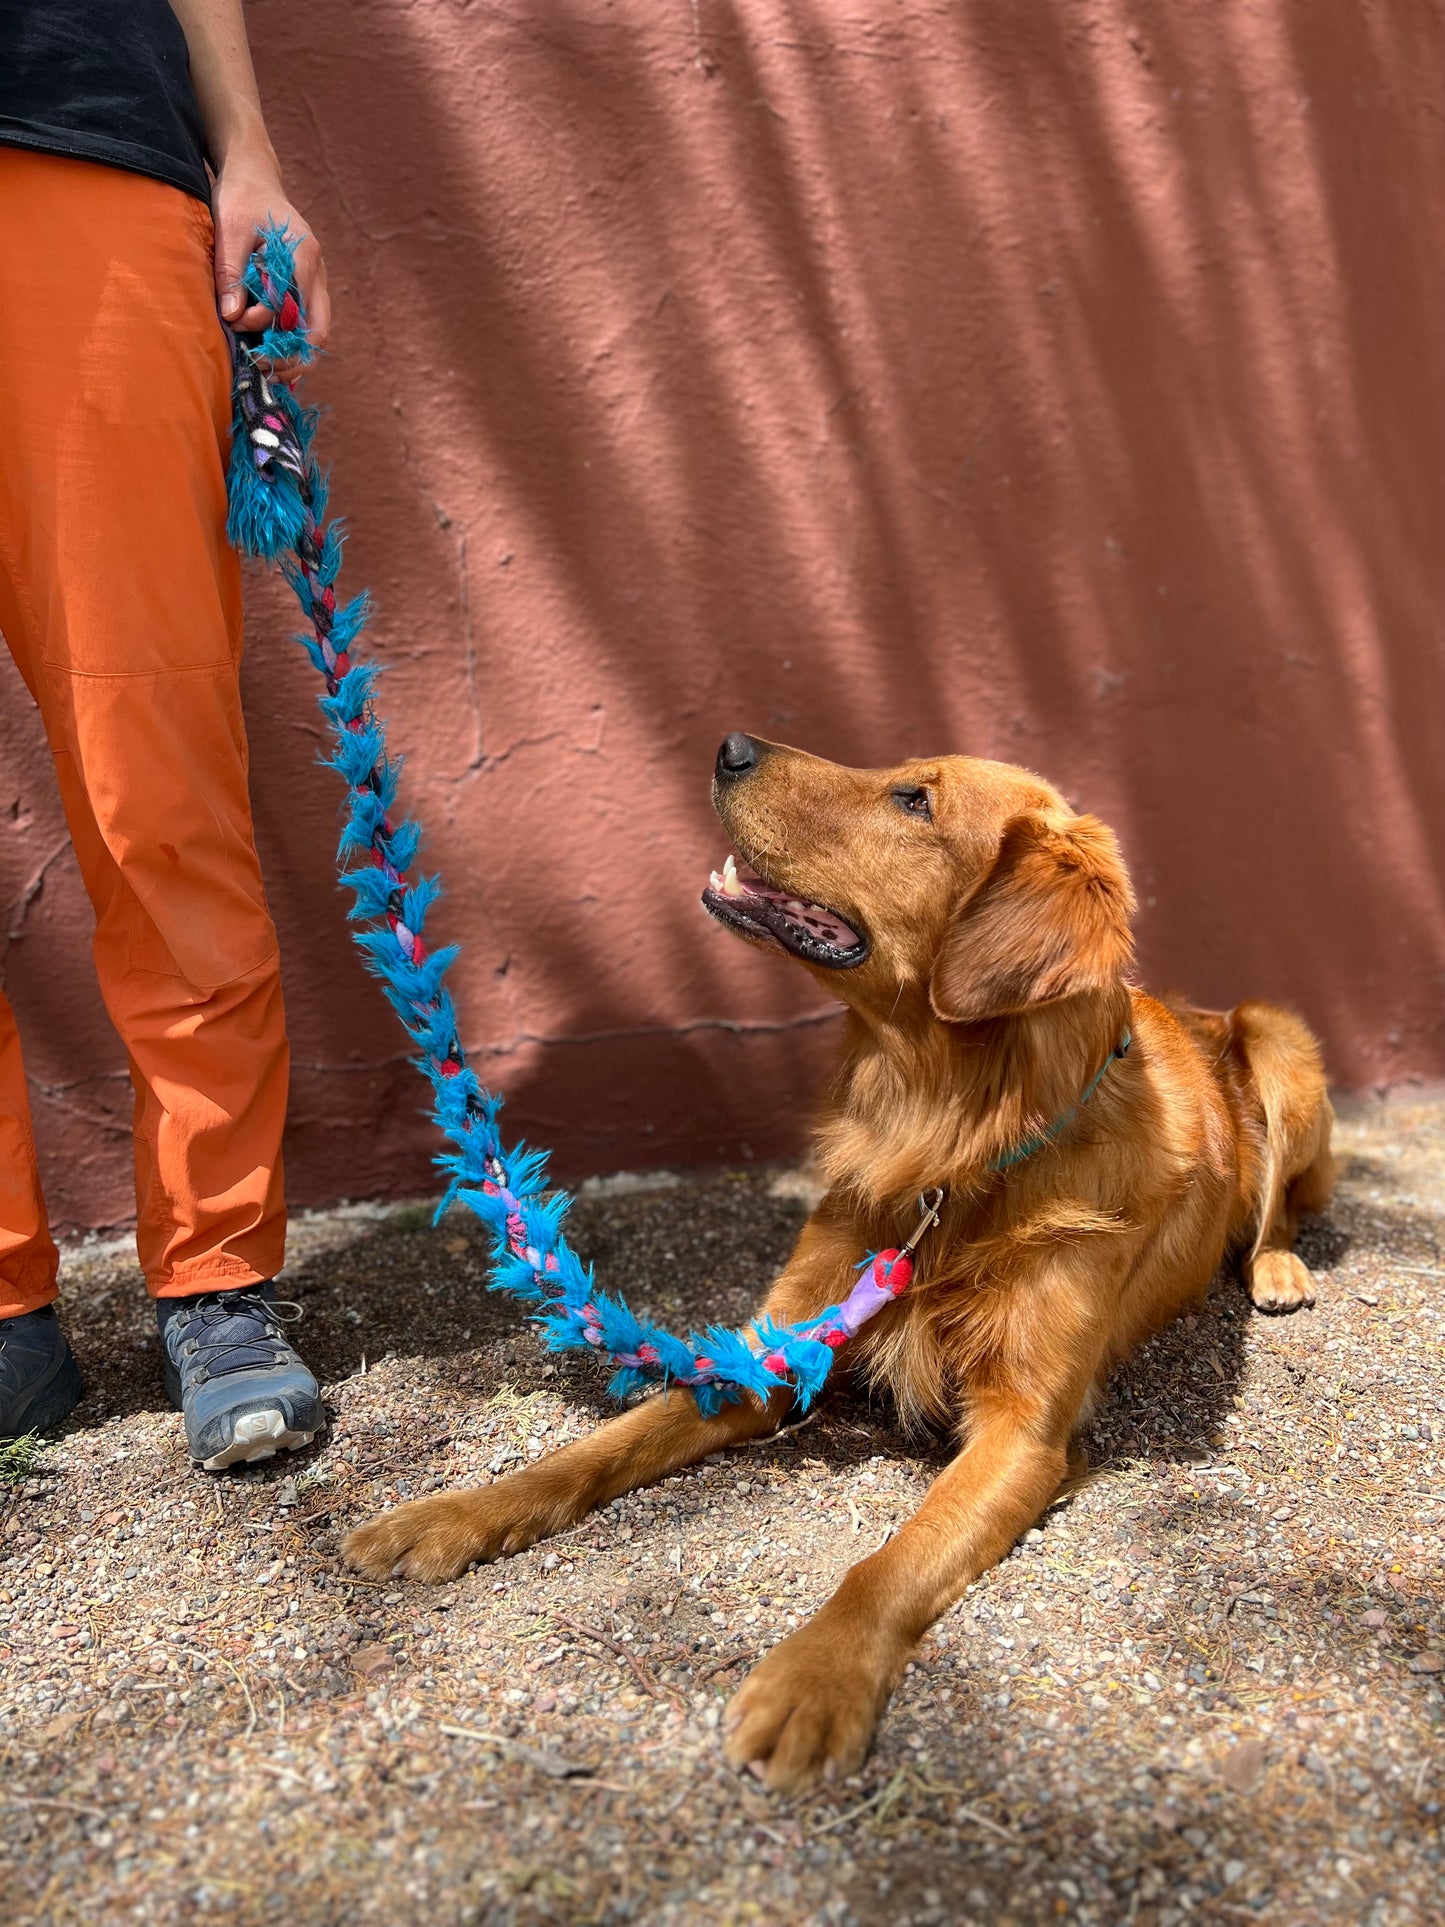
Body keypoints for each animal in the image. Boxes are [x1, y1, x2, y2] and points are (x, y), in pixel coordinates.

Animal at [344, 728, 1340, 1780]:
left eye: (914, 800)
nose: (729, 744)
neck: (949, 1141)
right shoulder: (777, 1344)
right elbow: (602, 1444)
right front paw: (454, 1512)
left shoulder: (1024, 1431)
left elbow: (890, 1560)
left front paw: (813, 1678)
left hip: (1280, 1043)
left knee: (1278, 1208)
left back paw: (1276, 1268)